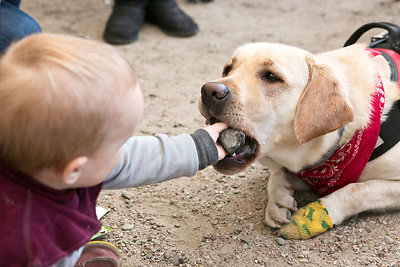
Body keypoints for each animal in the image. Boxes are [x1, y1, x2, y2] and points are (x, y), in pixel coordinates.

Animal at [199, 43, 400, 240]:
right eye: (228, 69)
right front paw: (278, 201)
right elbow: (277, 173)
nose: (208, 91)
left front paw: (316, 216)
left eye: (271, 76)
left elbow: (357, 190)